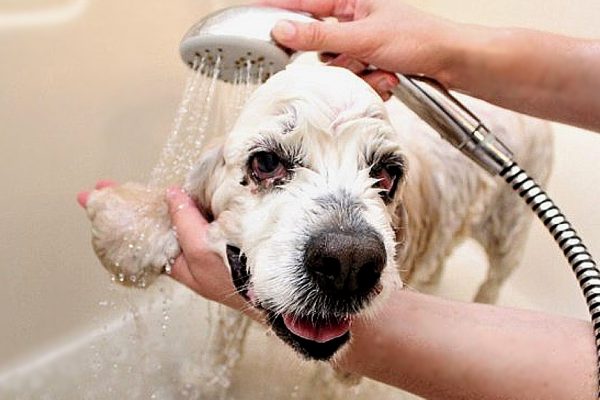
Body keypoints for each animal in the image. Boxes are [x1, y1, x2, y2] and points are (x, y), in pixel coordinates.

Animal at [83, 64, 552, 360]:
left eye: (387, 173)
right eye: (266, 162)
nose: (349, 263)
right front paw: (129, 226)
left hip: (510, 230)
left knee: (493, 280)